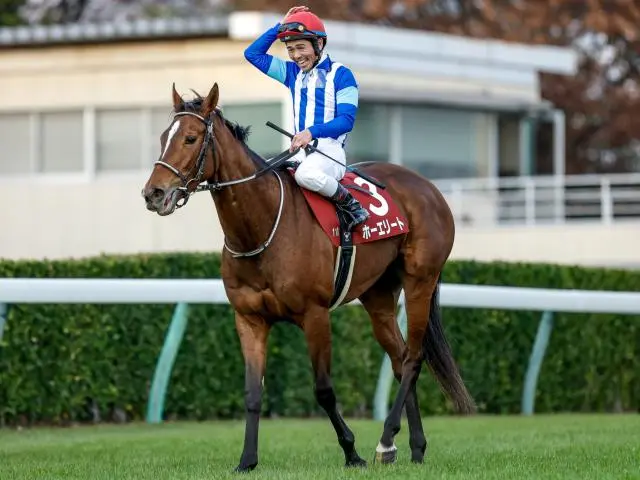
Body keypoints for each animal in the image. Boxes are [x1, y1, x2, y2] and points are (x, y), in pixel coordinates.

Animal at [142, 82, 476, 472]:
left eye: (191, 138)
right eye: (164, 136)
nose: (153, 193)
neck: (262, 229)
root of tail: (429, 187)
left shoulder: (315, 315)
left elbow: (324, 390)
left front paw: (352, 452)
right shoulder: (249, 318)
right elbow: (253, 392)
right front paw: (247, 460)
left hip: (420, 280)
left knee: (413, 359)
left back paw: (385, 440)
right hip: (378, 295)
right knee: (399, 358)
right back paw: (413, 447)